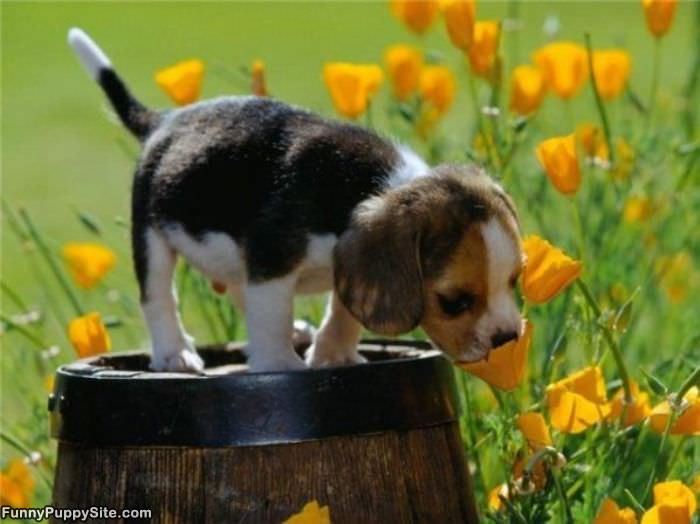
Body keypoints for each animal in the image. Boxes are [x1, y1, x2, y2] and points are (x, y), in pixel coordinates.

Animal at [68, 27, 524, 372]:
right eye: (454, 302)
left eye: (515, 279)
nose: (506, 339)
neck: (374, 186)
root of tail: (164, 121)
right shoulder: (273, 262)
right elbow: (270, 317)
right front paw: (279, 365)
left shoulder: (344, 265)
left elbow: (343, 310)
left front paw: (334, 353)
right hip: (151, 234)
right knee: (159, 296)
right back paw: (175, 354)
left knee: (239, 289)